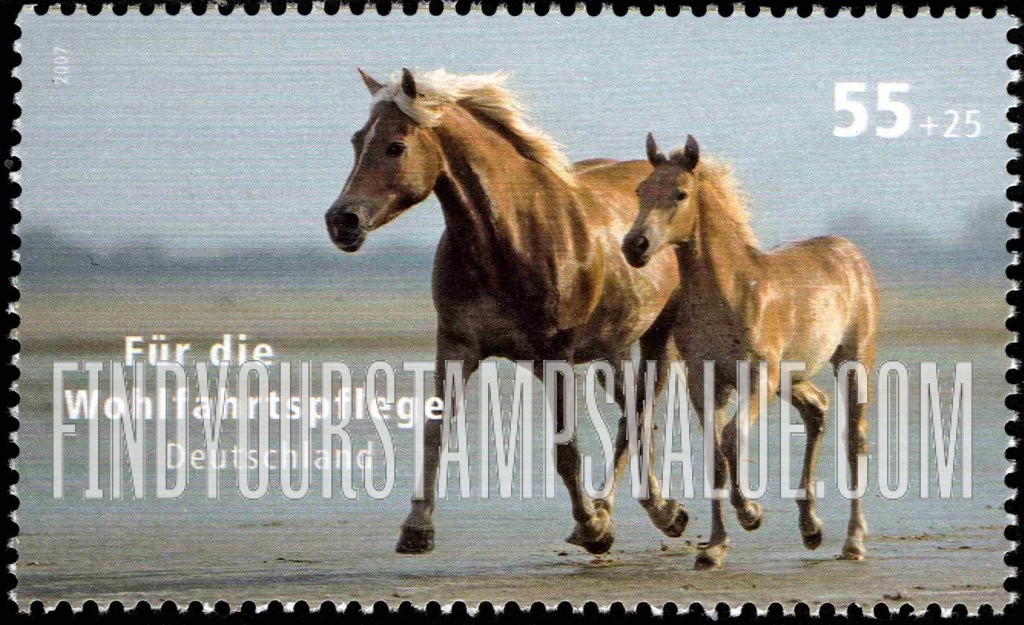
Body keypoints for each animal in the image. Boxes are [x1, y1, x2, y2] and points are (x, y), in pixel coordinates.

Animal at [325, 69, 686, 555]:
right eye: (357, 139)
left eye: (395, 145)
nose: (341, 221)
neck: (512, 237)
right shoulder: (456, 346)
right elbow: (435, 432)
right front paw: (417, 528)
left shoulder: (555, 356)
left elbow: (566, 450)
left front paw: (591, 530)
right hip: (611, 349)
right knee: (634, 415)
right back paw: (633, 509)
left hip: (657, 338)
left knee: (641, 417)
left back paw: (652, 514)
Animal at [622, 134, 879, 569]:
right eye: (640, 191)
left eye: (680, 193)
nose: (634, 245)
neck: (732, 291)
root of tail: (850, 252)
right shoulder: (704, 381)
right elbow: (714, 457)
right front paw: (714, 547)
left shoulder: (759, 377)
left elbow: (731, 437)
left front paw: (751, 514)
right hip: (793, 375)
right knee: (817, 410)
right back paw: (811, 528)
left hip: (852, 361)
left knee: (854, 440)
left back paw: (854, 541)